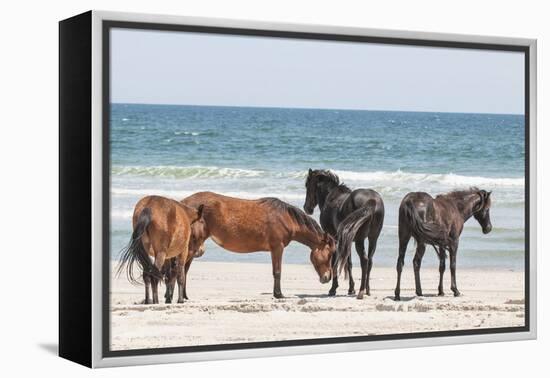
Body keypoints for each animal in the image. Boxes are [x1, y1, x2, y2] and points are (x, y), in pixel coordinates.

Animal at [181, 192, 336, 298]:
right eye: (329, 254)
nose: (327, 278)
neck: (286, 218)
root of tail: (184, 203)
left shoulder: (274, 249)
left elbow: (275, 271)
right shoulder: (277, 248)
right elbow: (277, 271)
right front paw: (279, 294)